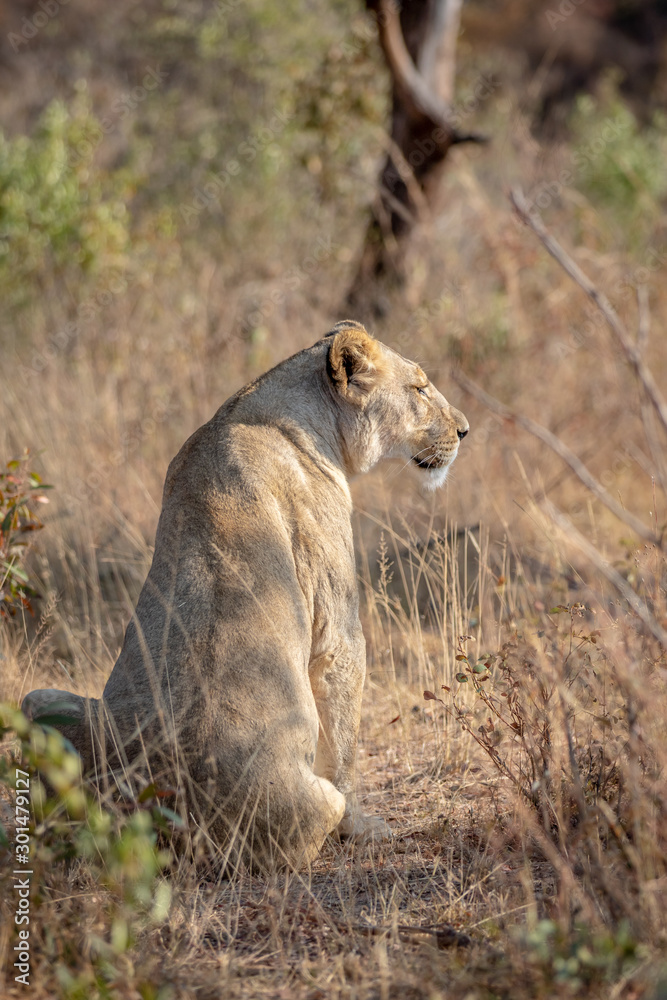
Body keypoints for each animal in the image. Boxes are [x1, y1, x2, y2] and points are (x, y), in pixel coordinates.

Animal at [22, 321, 468, 870]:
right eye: (420, 388)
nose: (465, 430)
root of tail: (167, 819)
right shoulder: (339, 628)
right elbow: (344, 740)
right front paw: (366, 828)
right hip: (311, 803)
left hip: (38, 700)